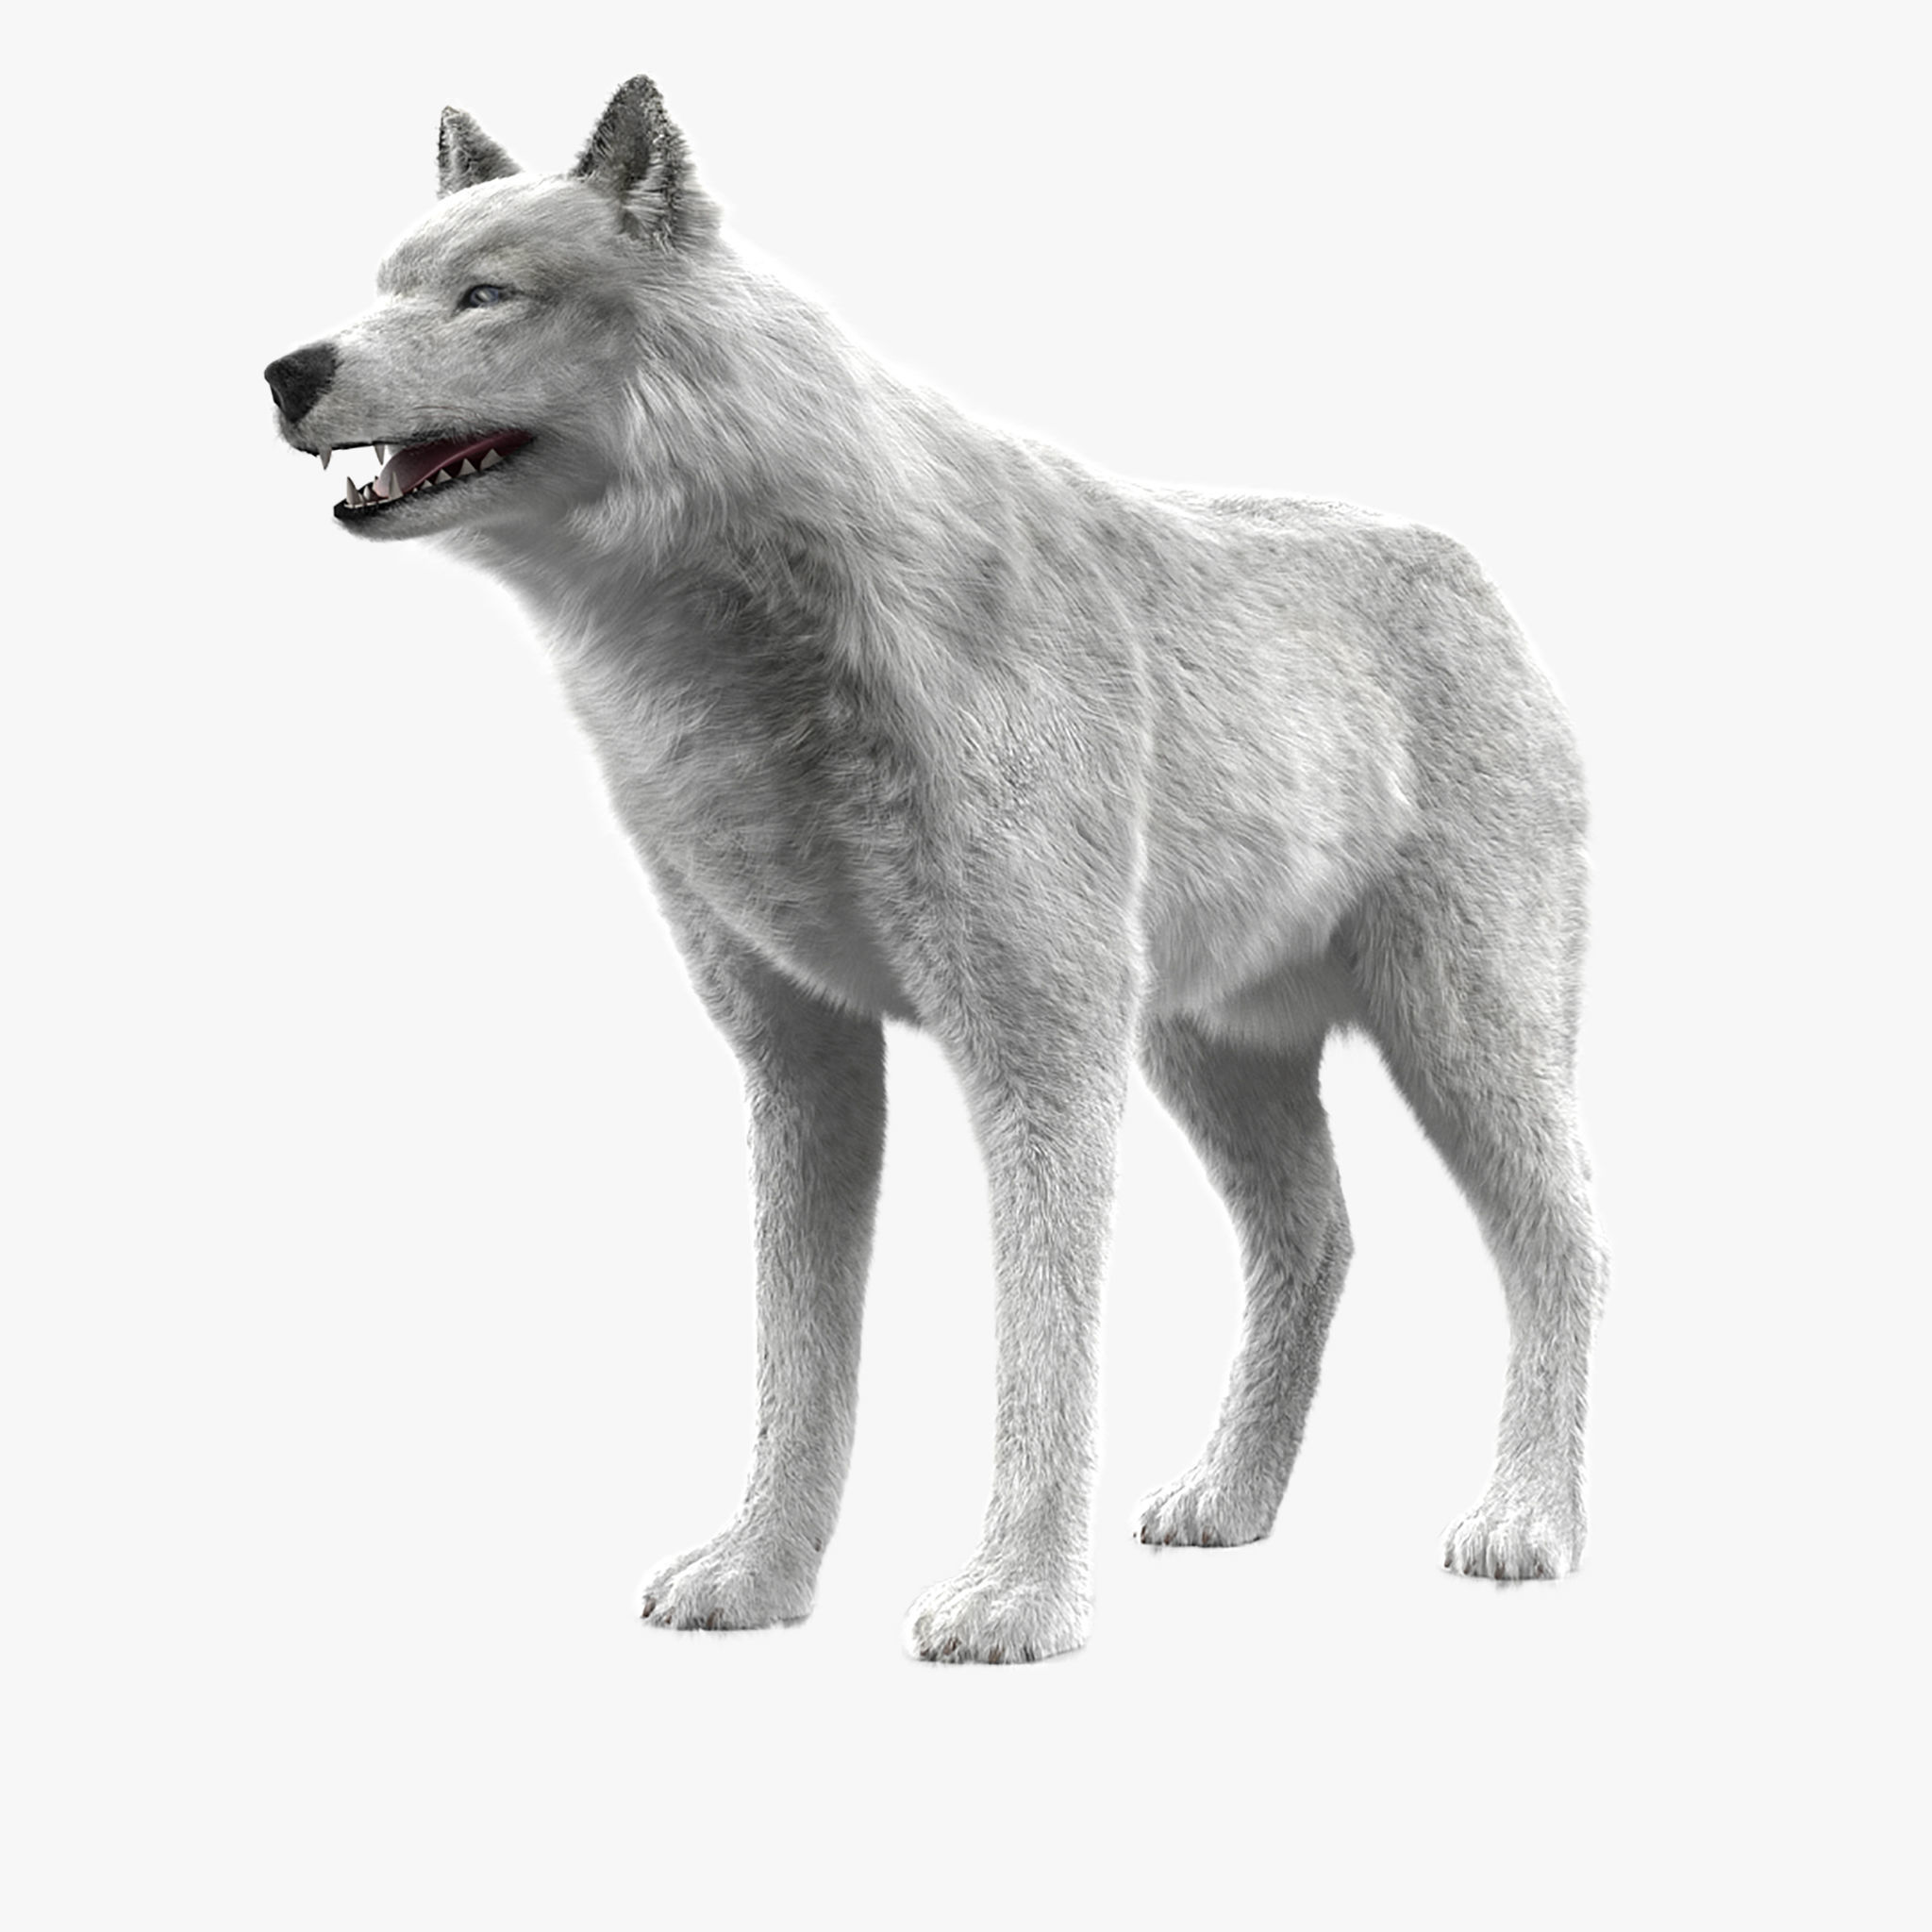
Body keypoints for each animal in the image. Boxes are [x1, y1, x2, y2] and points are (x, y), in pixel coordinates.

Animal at [266, 77, 1606, 1663]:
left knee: (1565, 1239)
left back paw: (1529, 1522)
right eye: (382, 285)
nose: (286, 370)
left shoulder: (1040, 1050)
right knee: (1320, 1240)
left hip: (1457, 1037)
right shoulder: (804, 1057)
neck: (740, 644)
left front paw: (1016, 1602)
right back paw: (1228, 1500)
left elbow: (1040, 1347)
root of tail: (1469, 568)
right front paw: (758, 1578)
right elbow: (798, 1360)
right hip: (1209, 1056)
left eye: (485, 295)